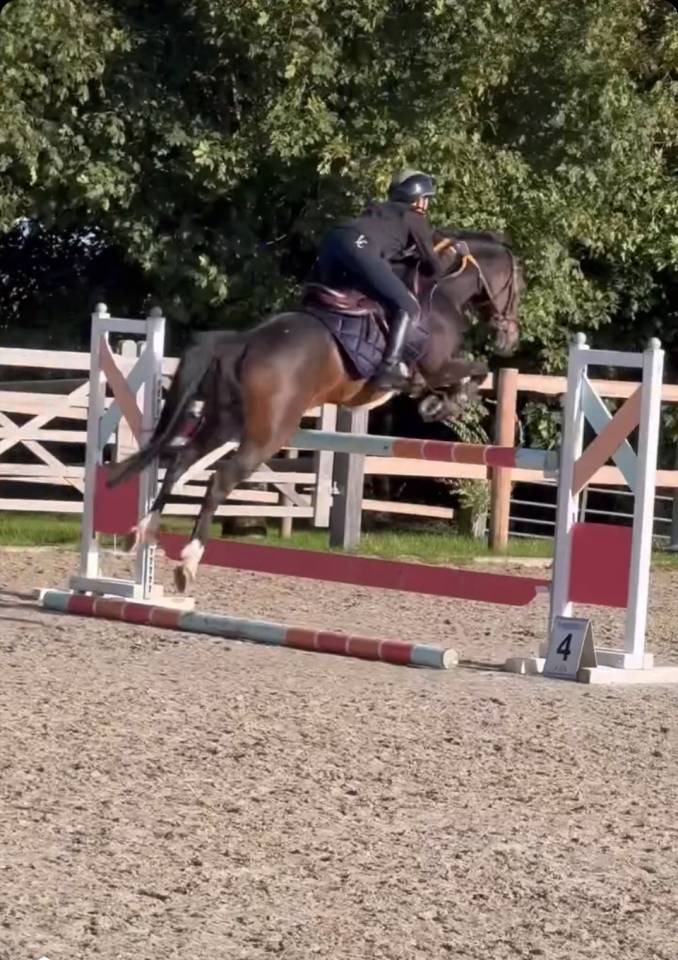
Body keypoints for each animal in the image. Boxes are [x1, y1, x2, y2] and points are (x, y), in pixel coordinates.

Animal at [107, 229, 523, 592]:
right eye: (517, 285)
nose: (510, 337)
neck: (442, 292)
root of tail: (241, 342)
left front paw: (437, 401)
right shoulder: (437, 366)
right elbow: (477, 371)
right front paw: (445, 402)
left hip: (223, 423)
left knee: (179, 463)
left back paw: (143, 532)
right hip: (267, 435)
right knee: (219, 479)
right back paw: (188, 562)